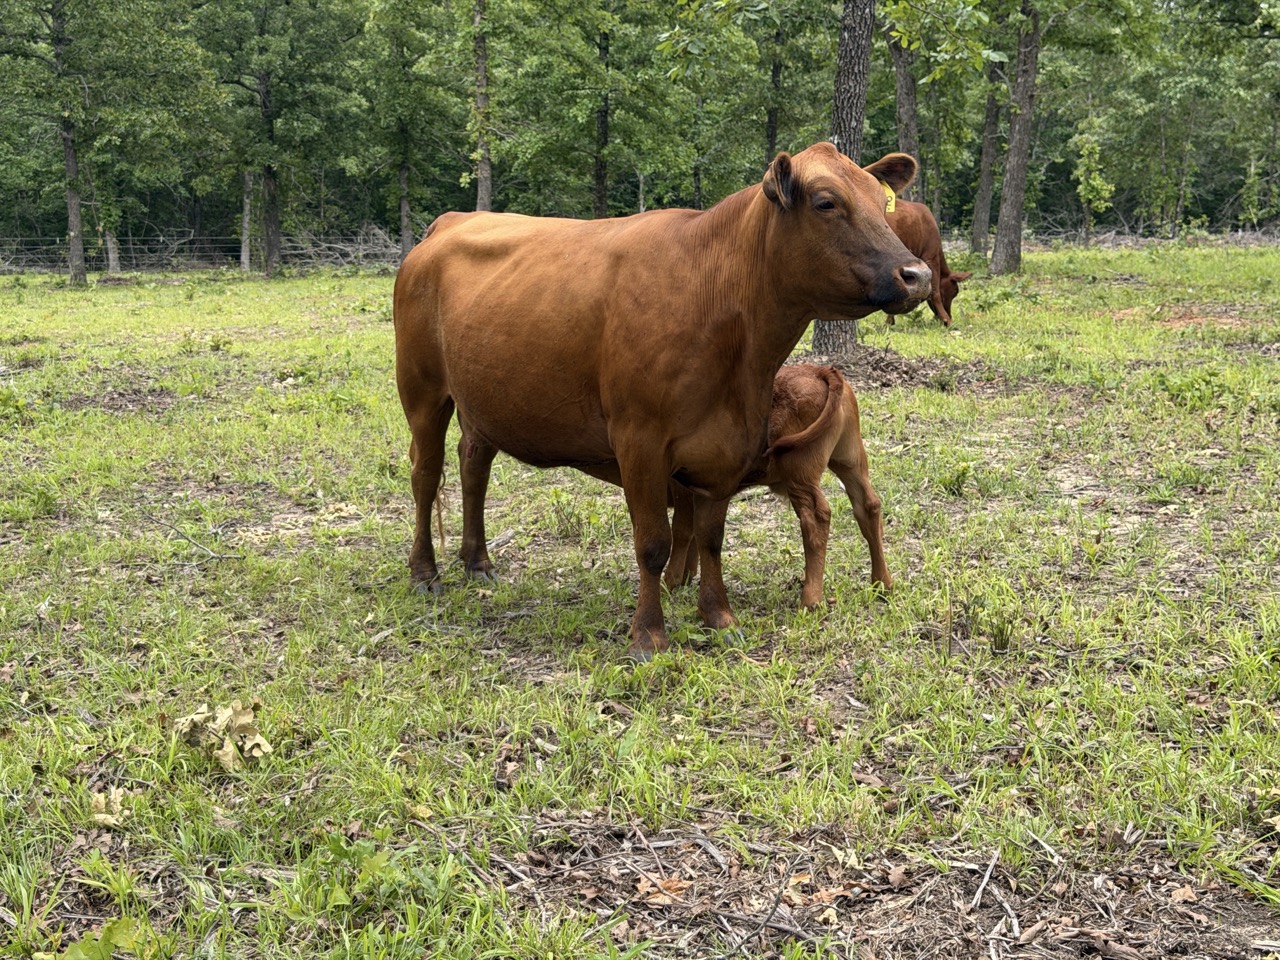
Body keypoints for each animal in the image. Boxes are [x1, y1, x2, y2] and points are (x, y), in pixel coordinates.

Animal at [664, 364, 890, 608]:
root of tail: (819, 370)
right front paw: (686, 576)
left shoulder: (680, 485)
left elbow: (682, 530)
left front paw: (670, 582)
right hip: (850, 459)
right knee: (868, 505)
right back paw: (883, 584)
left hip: (800, 472)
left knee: (816, 519)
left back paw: (811, 599)